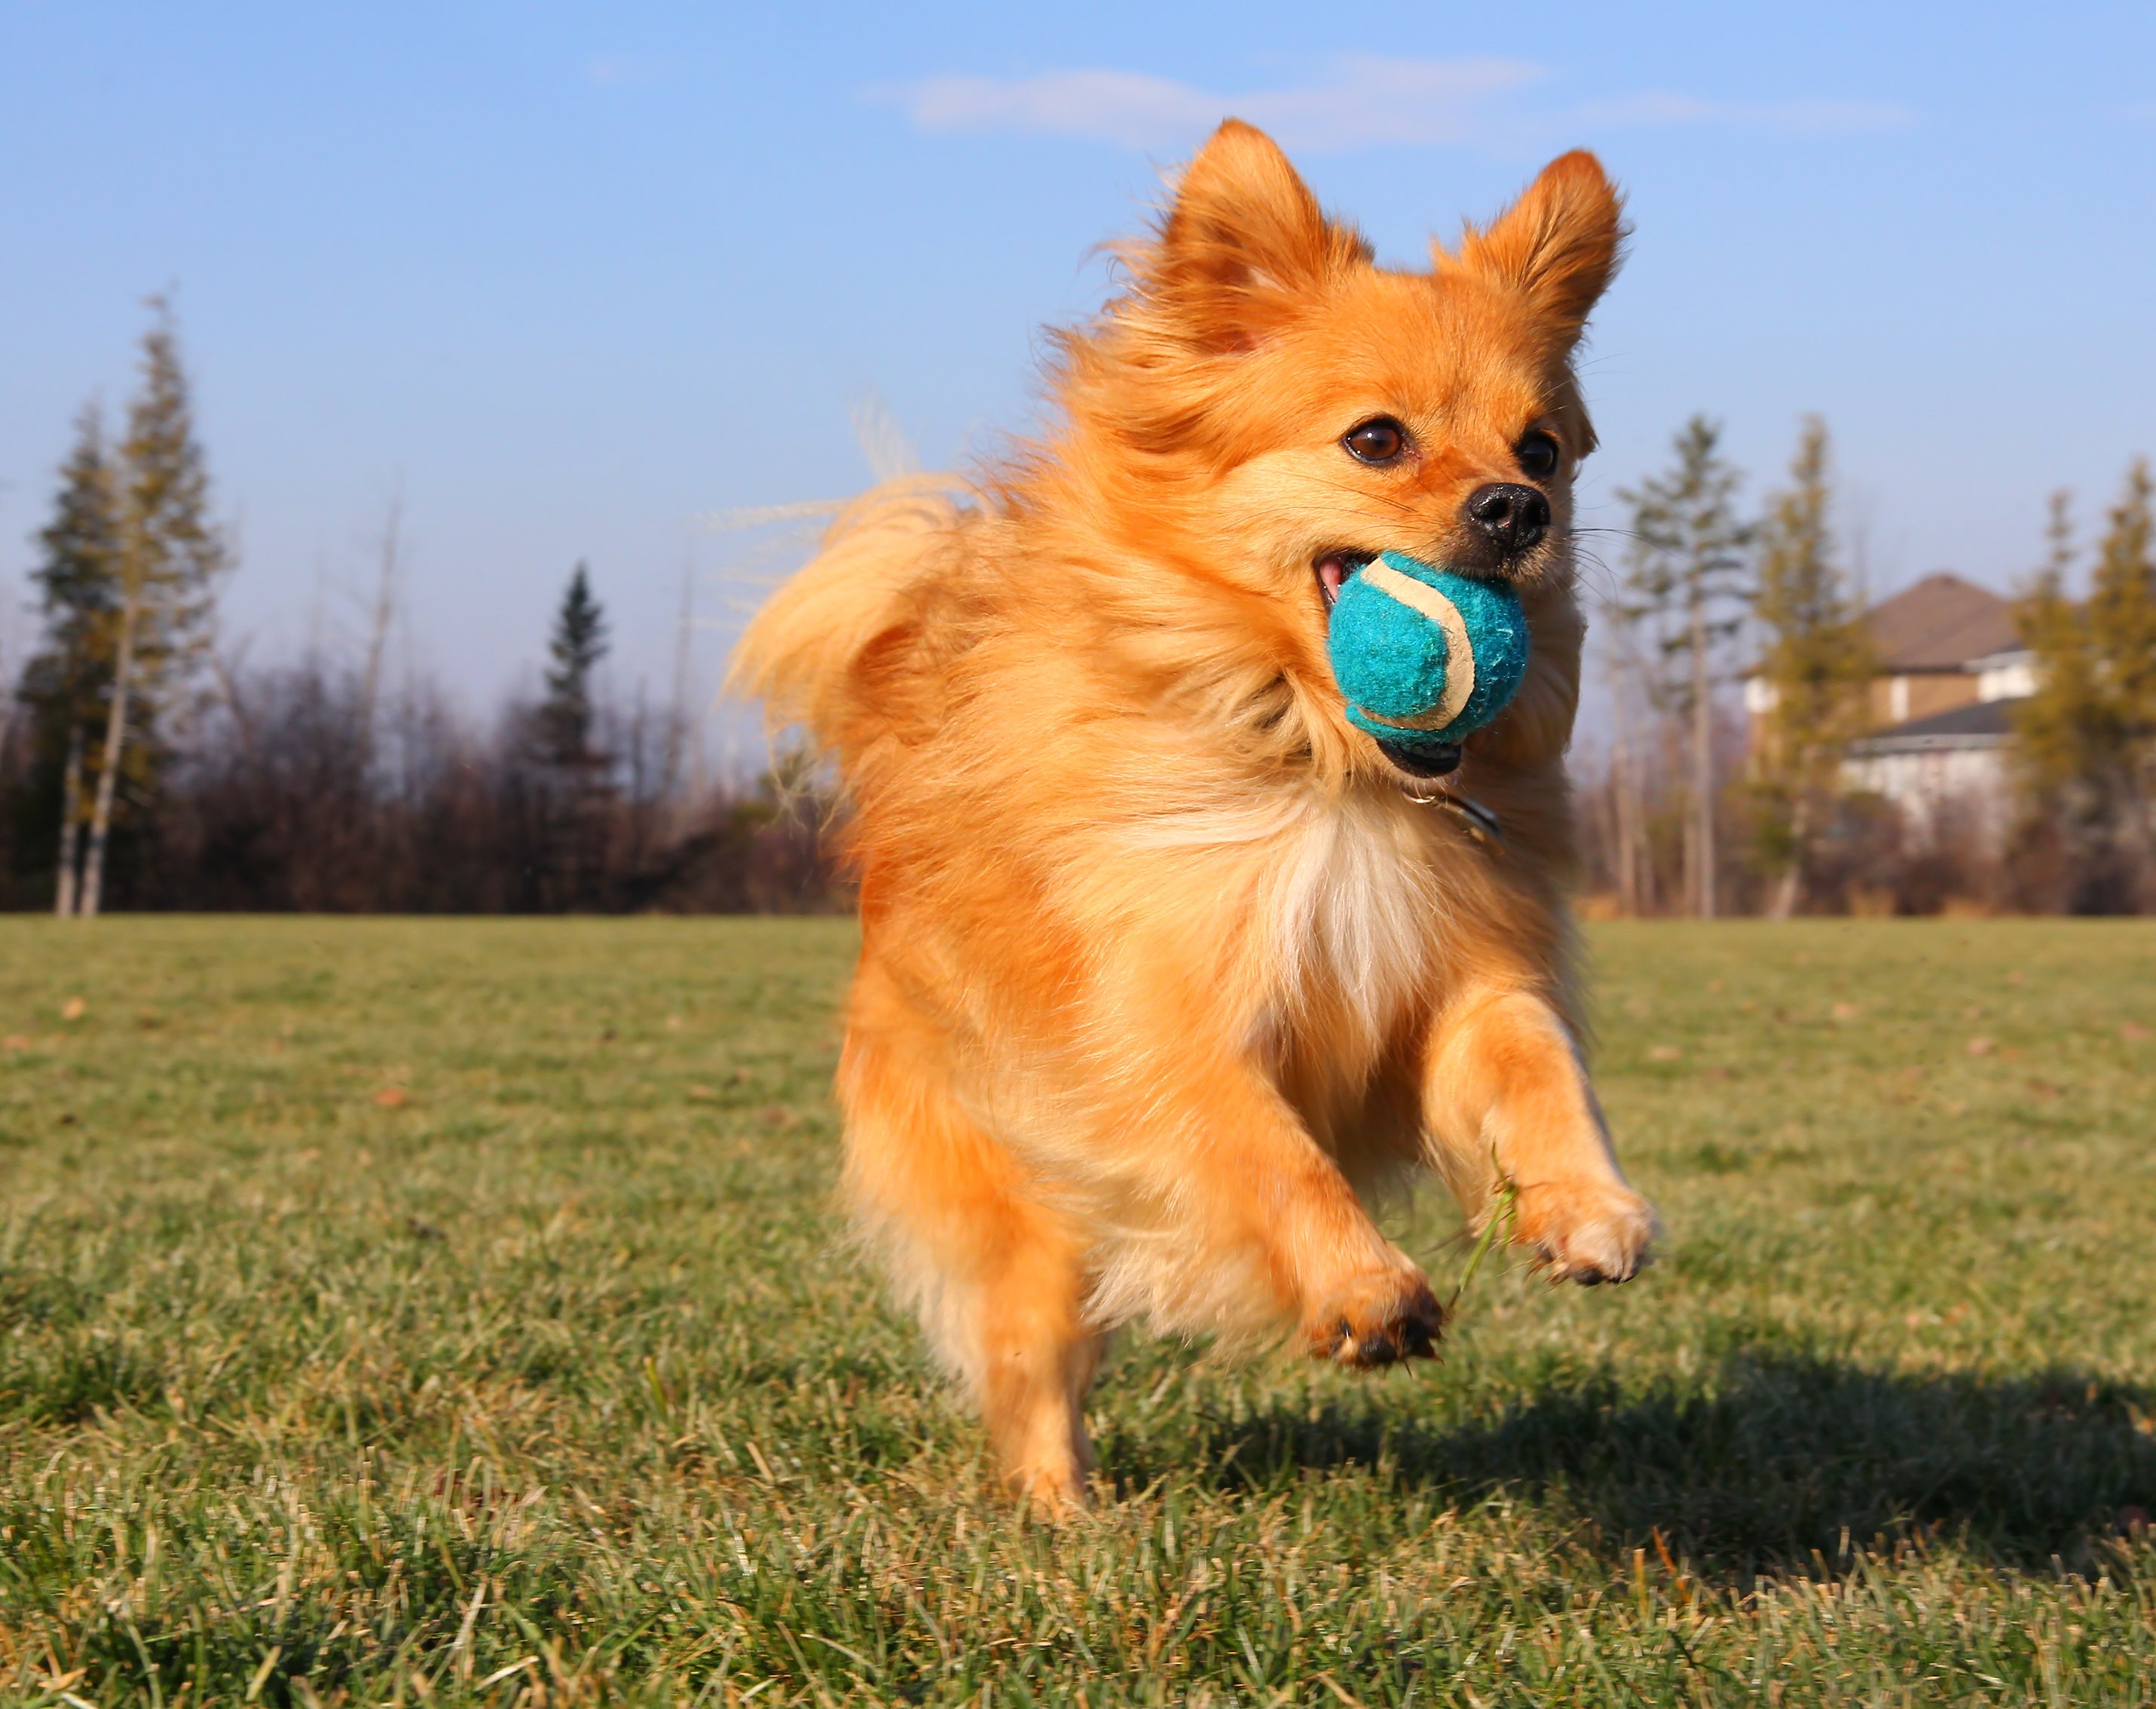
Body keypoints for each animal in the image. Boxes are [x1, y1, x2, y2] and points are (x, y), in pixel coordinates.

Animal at [732, 120, 1656, 1509]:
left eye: (1541, 448)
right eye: (1375, 441)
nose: (1518, 511)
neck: (1331, 771)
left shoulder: (1465, 980)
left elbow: (1540, 1069)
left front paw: (1586, 1203)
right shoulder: (1165, 1023)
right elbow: (1270, 1150)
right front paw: (1362, 1288)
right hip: (1030, 1214)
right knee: (1030, 1364)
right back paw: (1062, 1516)